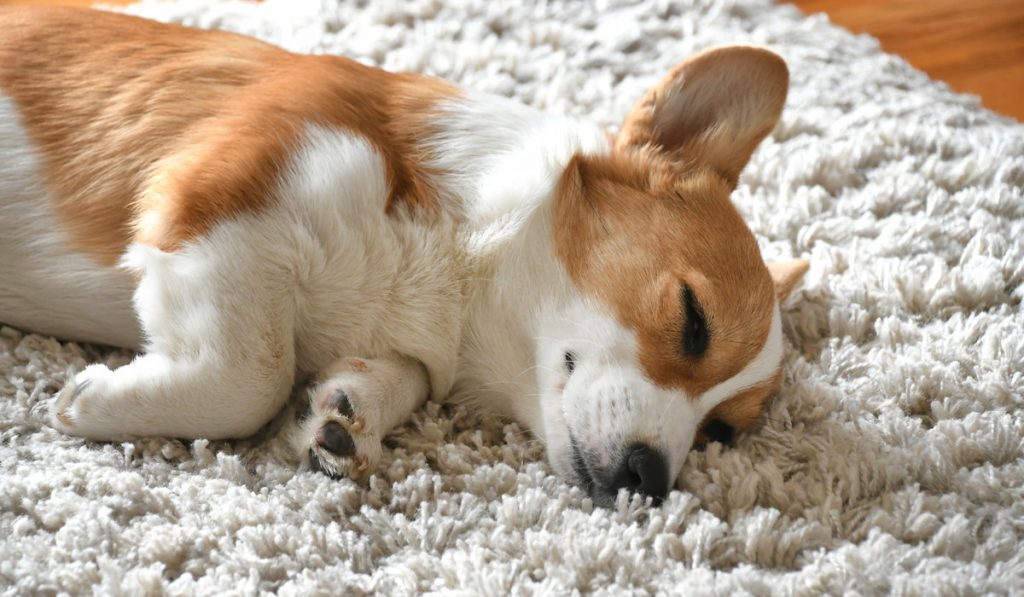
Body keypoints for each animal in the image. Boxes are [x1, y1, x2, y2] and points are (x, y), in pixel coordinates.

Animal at [0, 7, 806, 507]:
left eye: (723, 432)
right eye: (693, 321)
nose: (650, 479)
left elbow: (393, 376)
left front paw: (346, 415)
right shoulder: (215, 205)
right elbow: (253, 377)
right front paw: (94, 400)